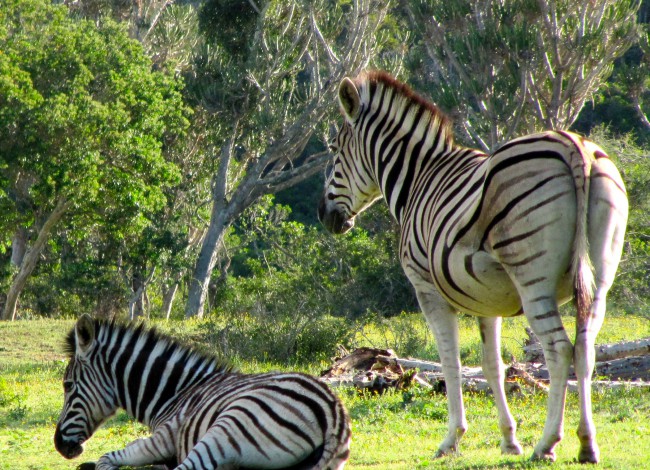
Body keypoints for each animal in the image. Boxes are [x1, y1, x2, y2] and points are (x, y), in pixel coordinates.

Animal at [54, 315, 351, 470]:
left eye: (68, 386)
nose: (59, 445)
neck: (175, 393)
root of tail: (333, 414)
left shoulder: (166, 437)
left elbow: (108, 459)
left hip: (229, 426)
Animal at [318, 71, 628, 463]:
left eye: (334, 151)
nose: (323, 216)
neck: (418, 179)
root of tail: (575, 147)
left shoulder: (426, 289)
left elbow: (450, 361)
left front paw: (451, 440)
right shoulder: (487, 300)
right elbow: (492, 366)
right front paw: (509, 440)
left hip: (532, 277)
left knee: (559, 351)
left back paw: (547, 444)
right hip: (602, 271)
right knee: (586, 348)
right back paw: (587, 445)